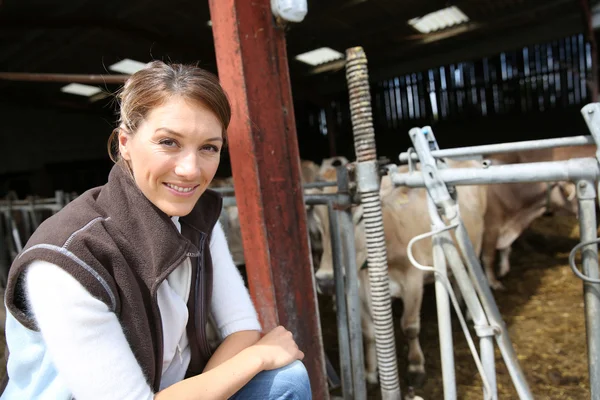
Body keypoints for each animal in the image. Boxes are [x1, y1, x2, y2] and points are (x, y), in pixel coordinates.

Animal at [310, 158, 488, 386]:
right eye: (319, 223)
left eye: (362, 217)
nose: (327, 282)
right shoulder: (359, 290)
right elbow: (368, 332)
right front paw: (370, 372)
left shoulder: (413, 280)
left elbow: (409, 326)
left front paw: (415, 367)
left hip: (475, 244)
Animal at [478, 144, 596, 290]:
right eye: (568, 191)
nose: (596, 207)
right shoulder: (491, 229)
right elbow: (488, 257)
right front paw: (494, 283)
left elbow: (506, 249)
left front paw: (503, 269)